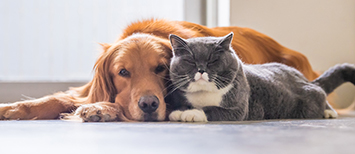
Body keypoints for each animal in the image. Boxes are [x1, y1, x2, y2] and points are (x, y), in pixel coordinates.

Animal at [0, 19, 322, 121]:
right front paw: (12, 108)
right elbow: (57, 98)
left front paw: (101, 109)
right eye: (123, 72)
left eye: (160, 68)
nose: (149, 105)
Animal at [168, 32, 355, 121]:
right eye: (191, 61)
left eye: (213, 60)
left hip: (309, 98)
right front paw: (179, 112)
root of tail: (303, 78)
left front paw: (191, 114)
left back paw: (329, 112)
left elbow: (212, 109)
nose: (201, 70)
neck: (204, 94)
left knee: (321, 93)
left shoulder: (239, 109)